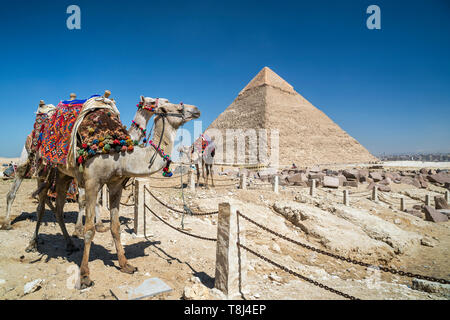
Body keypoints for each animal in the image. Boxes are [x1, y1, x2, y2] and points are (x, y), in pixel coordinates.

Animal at [25, 97, 199, 288]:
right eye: (175, 107)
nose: (196, 109)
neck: (121, 155)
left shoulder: (115, 184)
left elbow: (115, 227)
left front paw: (125, 264)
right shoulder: (92, 182)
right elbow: (89, 229)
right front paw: (85, 275)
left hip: (64, 174)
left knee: (58, 208)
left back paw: (70, 244)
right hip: (43, 167)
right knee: (41, 205)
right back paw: (33, 243)